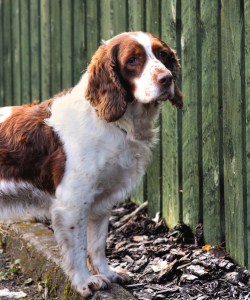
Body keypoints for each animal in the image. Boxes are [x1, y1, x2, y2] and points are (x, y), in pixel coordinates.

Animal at [0, 31, 184, 298]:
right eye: (132, 60)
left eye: (162, 54)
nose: (167, 78)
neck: (111, 122)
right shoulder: (73, 203)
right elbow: (78, 248)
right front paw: (85, 282)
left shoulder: (101, 201)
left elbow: (97, 244)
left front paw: (107, 273)